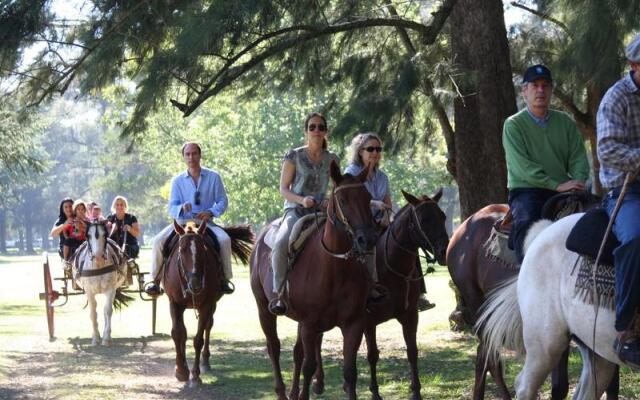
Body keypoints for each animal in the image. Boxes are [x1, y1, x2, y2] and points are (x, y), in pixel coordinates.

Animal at [164, 220, 254, 386]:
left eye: (202, 249)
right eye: (181, 250)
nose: (196, 283)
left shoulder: (206, 305)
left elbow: (198, 339)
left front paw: (195, 375)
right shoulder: (174, 303)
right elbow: (178, 333)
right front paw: (181, 371)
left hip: (212, 305)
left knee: (208, 327)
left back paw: (205, 362)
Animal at [250, 162, 380, 400]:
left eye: (368, 198)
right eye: (343, 200)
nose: (367, 239)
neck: (334, 268)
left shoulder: (353, 324)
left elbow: (350, 371)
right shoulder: (309, 324)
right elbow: (308, 366)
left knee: (297, 352)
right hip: (264, 308)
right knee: (274, 347)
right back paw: (282, 391)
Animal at [294, 189, 450, 398]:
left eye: (442, 216)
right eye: (424, 219)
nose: (444, 251)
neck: (391, 265)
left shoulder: (409, 316)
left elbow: (412, 352)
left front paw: (416, 391)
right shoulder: (368, 321)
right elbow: (372, 355)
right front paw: (375, 392)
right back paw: (317, 383)